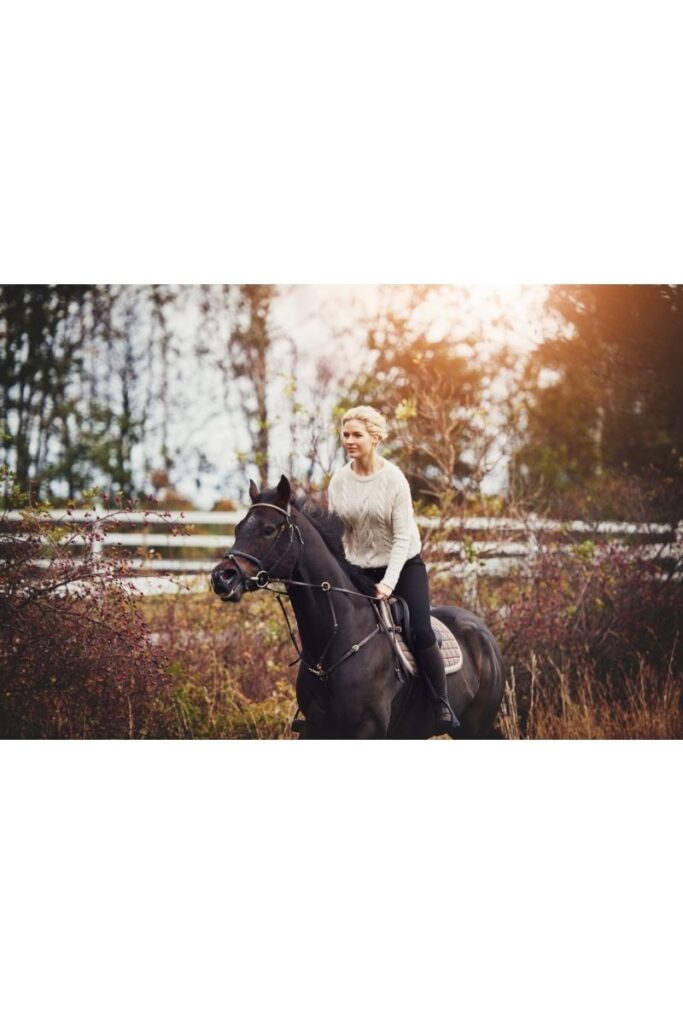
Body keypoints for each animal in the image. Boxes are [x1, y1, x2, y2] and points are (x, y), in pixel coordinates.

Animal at [210, 475, 505, 741]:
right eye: (237, 529)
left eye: (268, 529)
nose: (222, 578)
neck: (335, 641)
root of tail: (483, 632)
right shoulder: (316, 728)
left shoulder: (366, 729)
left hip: (474, 729)